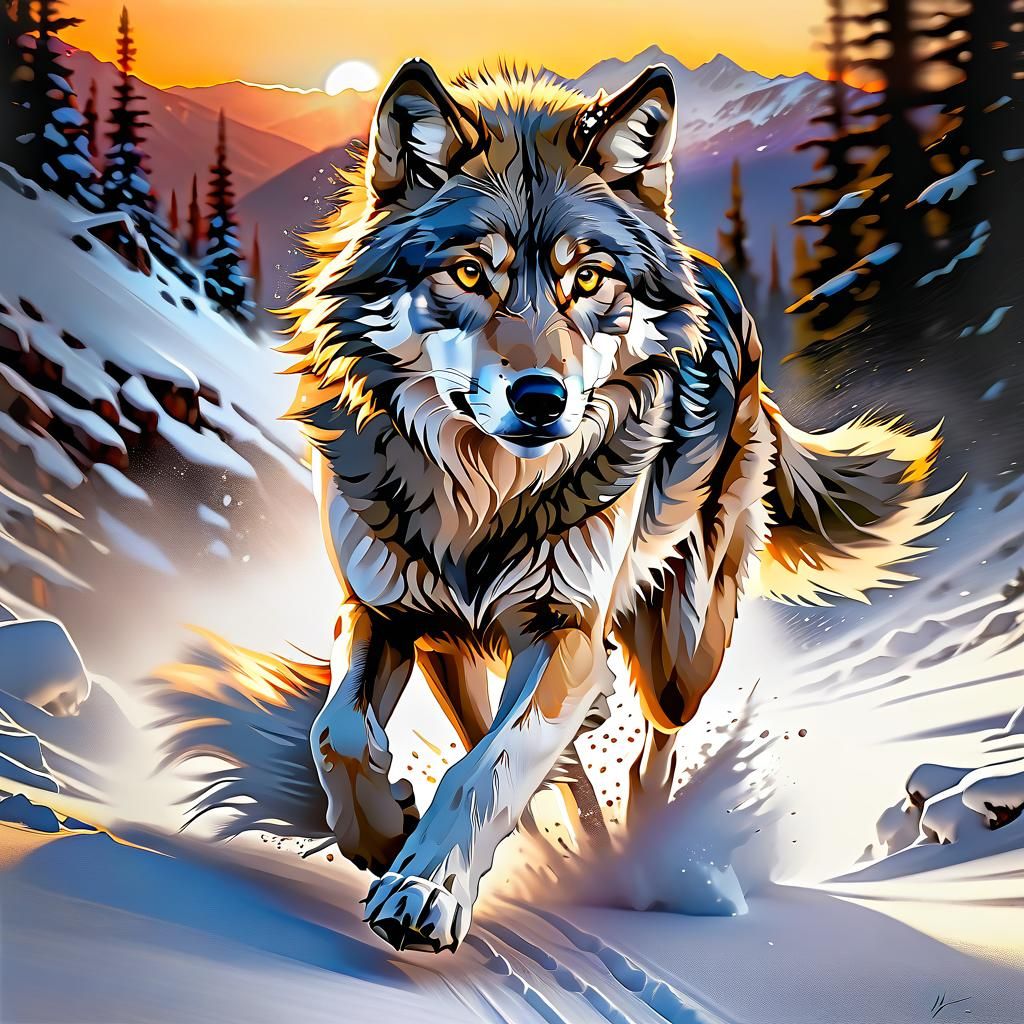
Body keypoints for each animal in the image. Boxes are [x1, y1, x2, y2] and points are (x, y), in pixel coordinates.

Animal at [159, 59, 949, 954]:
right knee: (543, 754)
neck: (483, 496)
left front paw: (426, 889)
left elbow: (485, 775)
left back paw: (643, 860)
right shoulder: (384, 613)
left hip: (680, 651)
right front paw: (384, 832)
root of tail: (713, 275)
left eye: (588, 279)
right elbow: (344, 737)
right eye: (471, 273)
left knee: (650, 749)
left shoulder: (562, 628)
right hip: (469, 654)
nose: (541, 400)